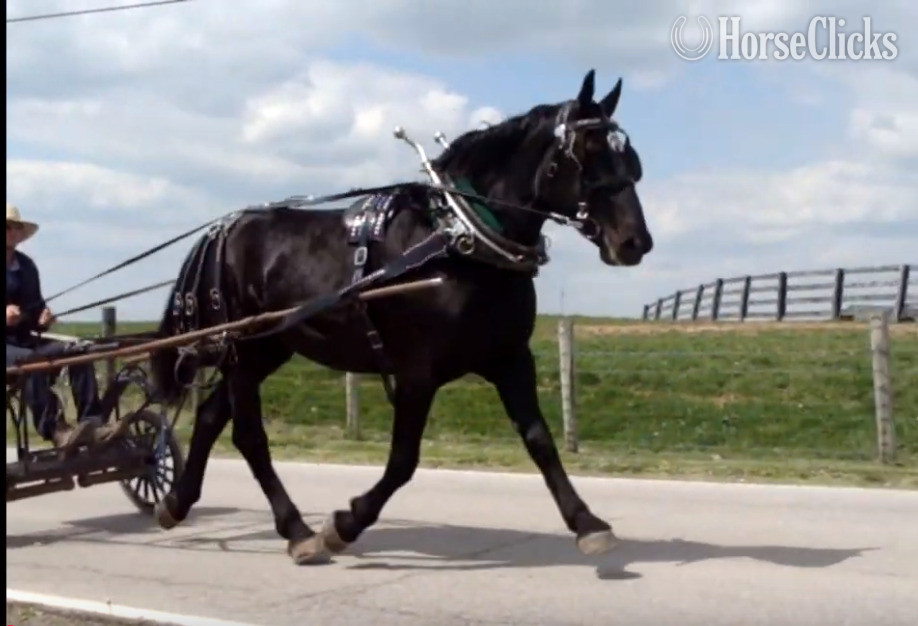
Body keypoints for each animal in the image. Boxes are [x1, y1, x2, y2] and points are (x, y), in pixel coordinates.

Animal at [148, 69, 653, 565]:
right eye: (587, 151)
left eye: (630, 159)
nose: (635, 242)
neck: (459, 241)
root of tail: (222, 229)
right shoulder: (416, 371)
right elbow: (403, 459)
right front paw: (345, 524)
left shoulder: (510, 359)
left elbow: (539, 440)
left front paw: (588, 522)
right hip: (243, 350)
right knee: (249, 435)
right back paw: (298, 530)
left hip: (268, 350)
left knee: (211, 416)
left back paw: (178, 503)